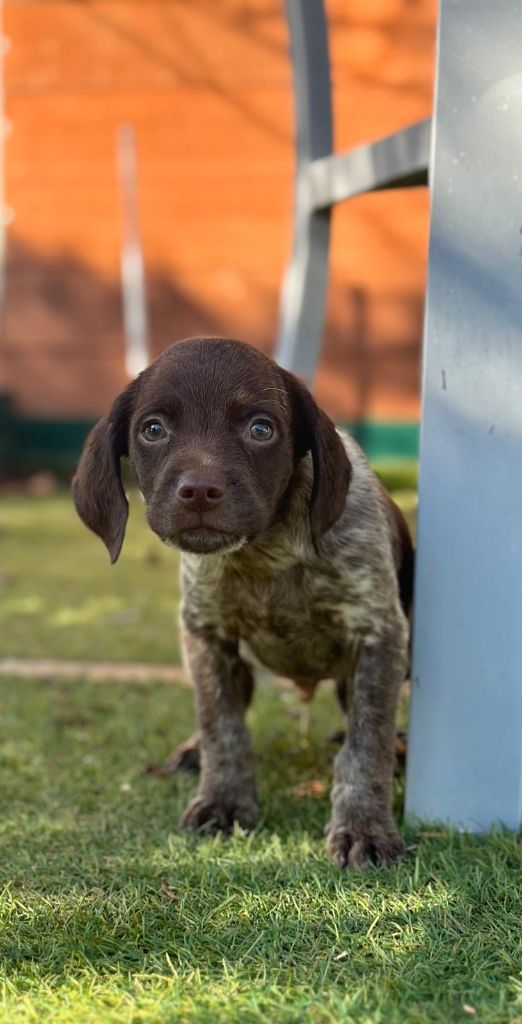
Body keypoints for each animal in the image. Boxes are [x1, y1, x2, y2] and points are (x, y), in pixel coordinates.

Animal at [72, 339, 411, 868]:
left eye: (261, 429)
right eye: (153, 429)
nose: (198, 492)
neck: (265, 553)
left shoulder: (380, 635)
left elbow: (366, 741)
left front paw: (364, 828)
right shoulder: (206, 635)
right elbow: (221, 724)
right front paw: (224, 801)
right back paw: (193, 753)